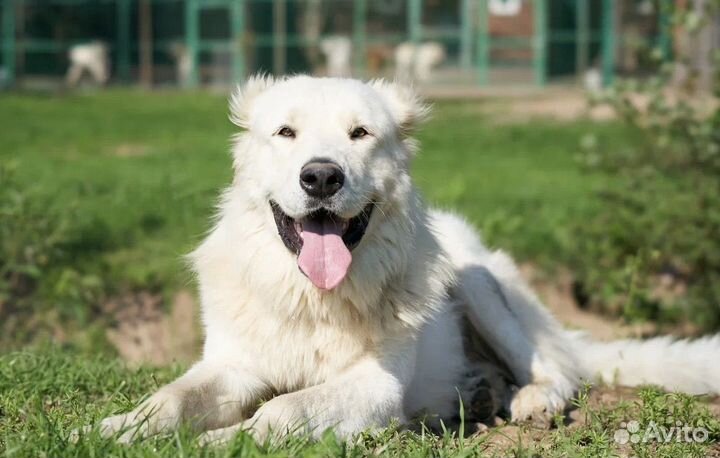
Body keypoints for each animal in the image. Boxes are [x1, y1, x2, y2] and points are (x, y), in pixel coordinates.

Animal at [88, 75, 720, 444]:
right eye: (285, 132)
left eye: (360, 134)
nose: (321, 176)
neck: (312, 298)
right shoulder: (233, 366)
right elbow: (170, 399)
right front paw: (114, 430)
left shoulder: (374, 386)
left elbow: (284, 411)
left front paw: (222, 443)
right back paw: (479, 392)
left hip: (477, 280)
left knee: (557, 371)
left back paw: (528, 399)